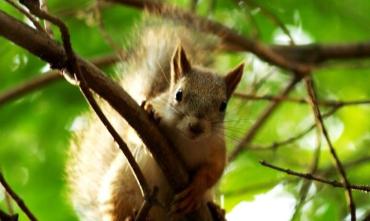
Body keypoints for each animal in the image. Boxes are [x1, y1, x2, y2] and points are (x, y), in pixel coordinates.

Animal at [66, 19, 244, 221]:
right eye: (179, 94)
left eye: (223, 105)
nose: (196, 127)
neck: (187, 140)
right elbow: (133, 133)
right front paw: (152, 114)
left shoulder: (217, 147)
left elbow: (214, 171)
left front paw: (195, 190)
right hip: (120, 187)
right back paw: (128, 217)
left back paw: (217, 211)